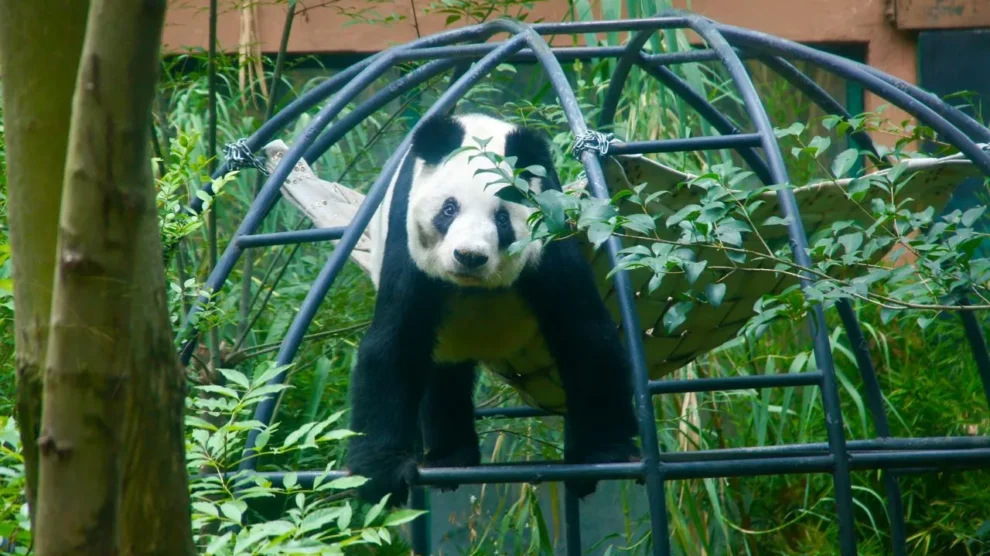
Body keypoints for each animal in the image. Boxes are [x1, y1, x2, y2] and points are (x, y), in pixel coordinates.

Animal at [345, 112, 640, 507]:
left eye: (502, 219)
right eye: (449, 209)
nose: (469, 256)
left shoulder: (547, 242)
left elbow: (586, 335)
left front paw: (604, 451)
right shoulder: (409, 252)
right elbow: (393, 345)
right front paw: (379, 472)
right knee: (442, 377)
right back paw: (450, 458)